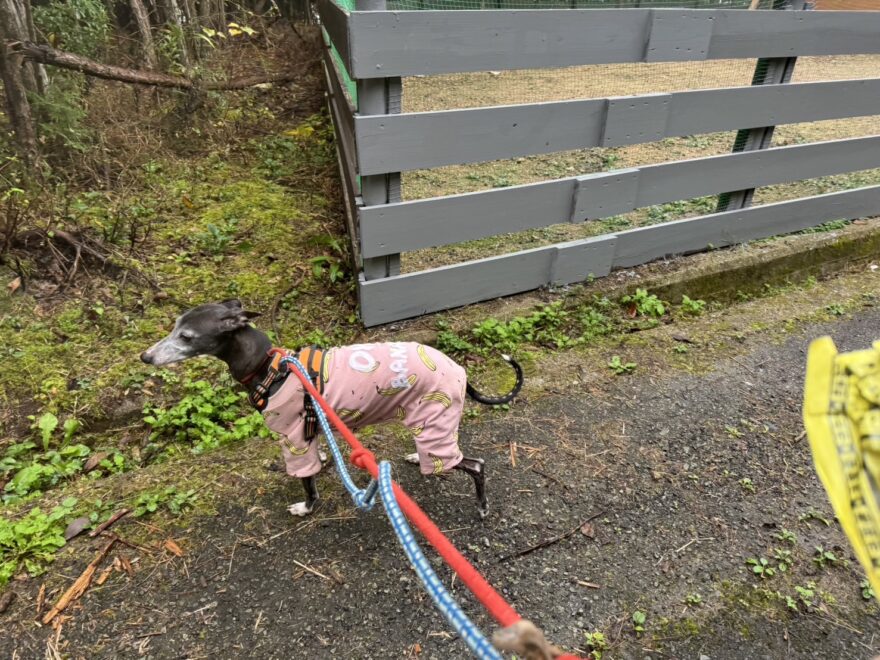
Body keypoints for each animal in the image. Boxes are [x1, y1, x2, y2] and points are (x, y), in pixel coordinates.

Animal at [140, 300, 523, 518]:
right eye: (175, 326)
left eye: (186, 337)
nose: (145, 357)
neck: (269, 366)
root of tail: (459, 369)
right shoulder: (309, 428)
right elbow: (317, 457)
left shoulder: (291, 437)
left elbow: (306, 481)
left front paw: (306, 507)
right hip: (423, 418)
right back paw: (418, 456)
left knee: (475, 465)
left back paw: (482, 506)